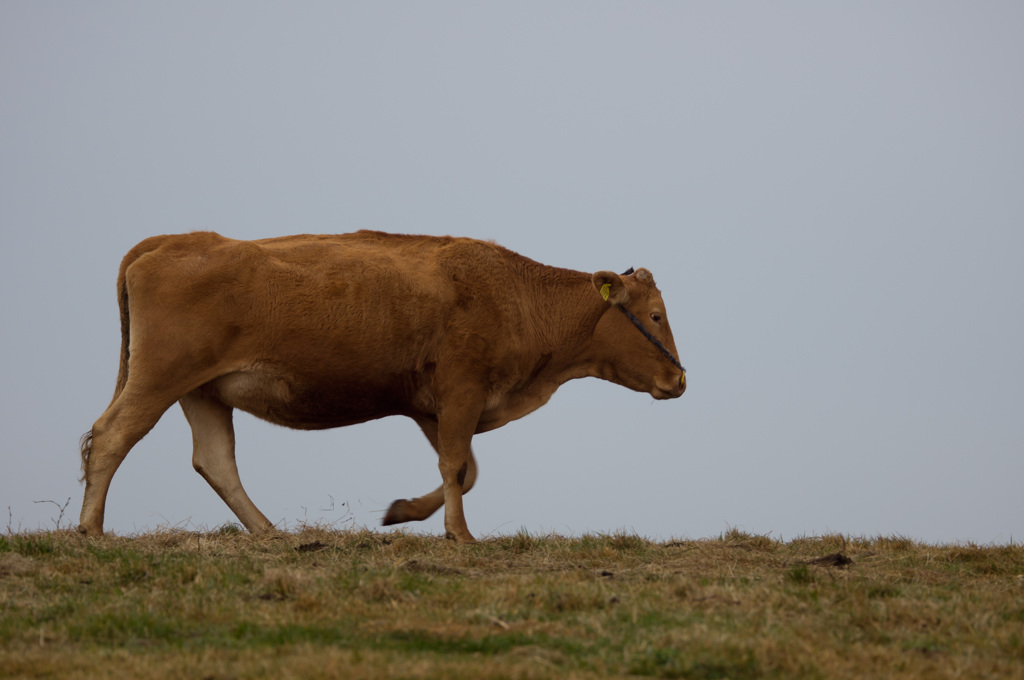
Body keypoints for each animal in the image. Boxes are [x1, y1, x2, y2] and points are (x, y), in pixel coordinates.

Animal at [77, 232, 688, 540]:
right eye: (656, 316)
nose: (680, 378)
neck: (512, 294)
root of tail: (170, 241)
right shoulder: (461, 392)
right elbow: (457, 468)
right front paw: (460, 537)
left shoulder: (430, 409)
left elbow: (464, 471)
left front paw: (401, 513)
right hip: (161, 378)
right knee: (110, 437)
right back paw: (90, 529)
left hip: (202, 392)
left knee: (215, 460)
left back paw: (270, 533)